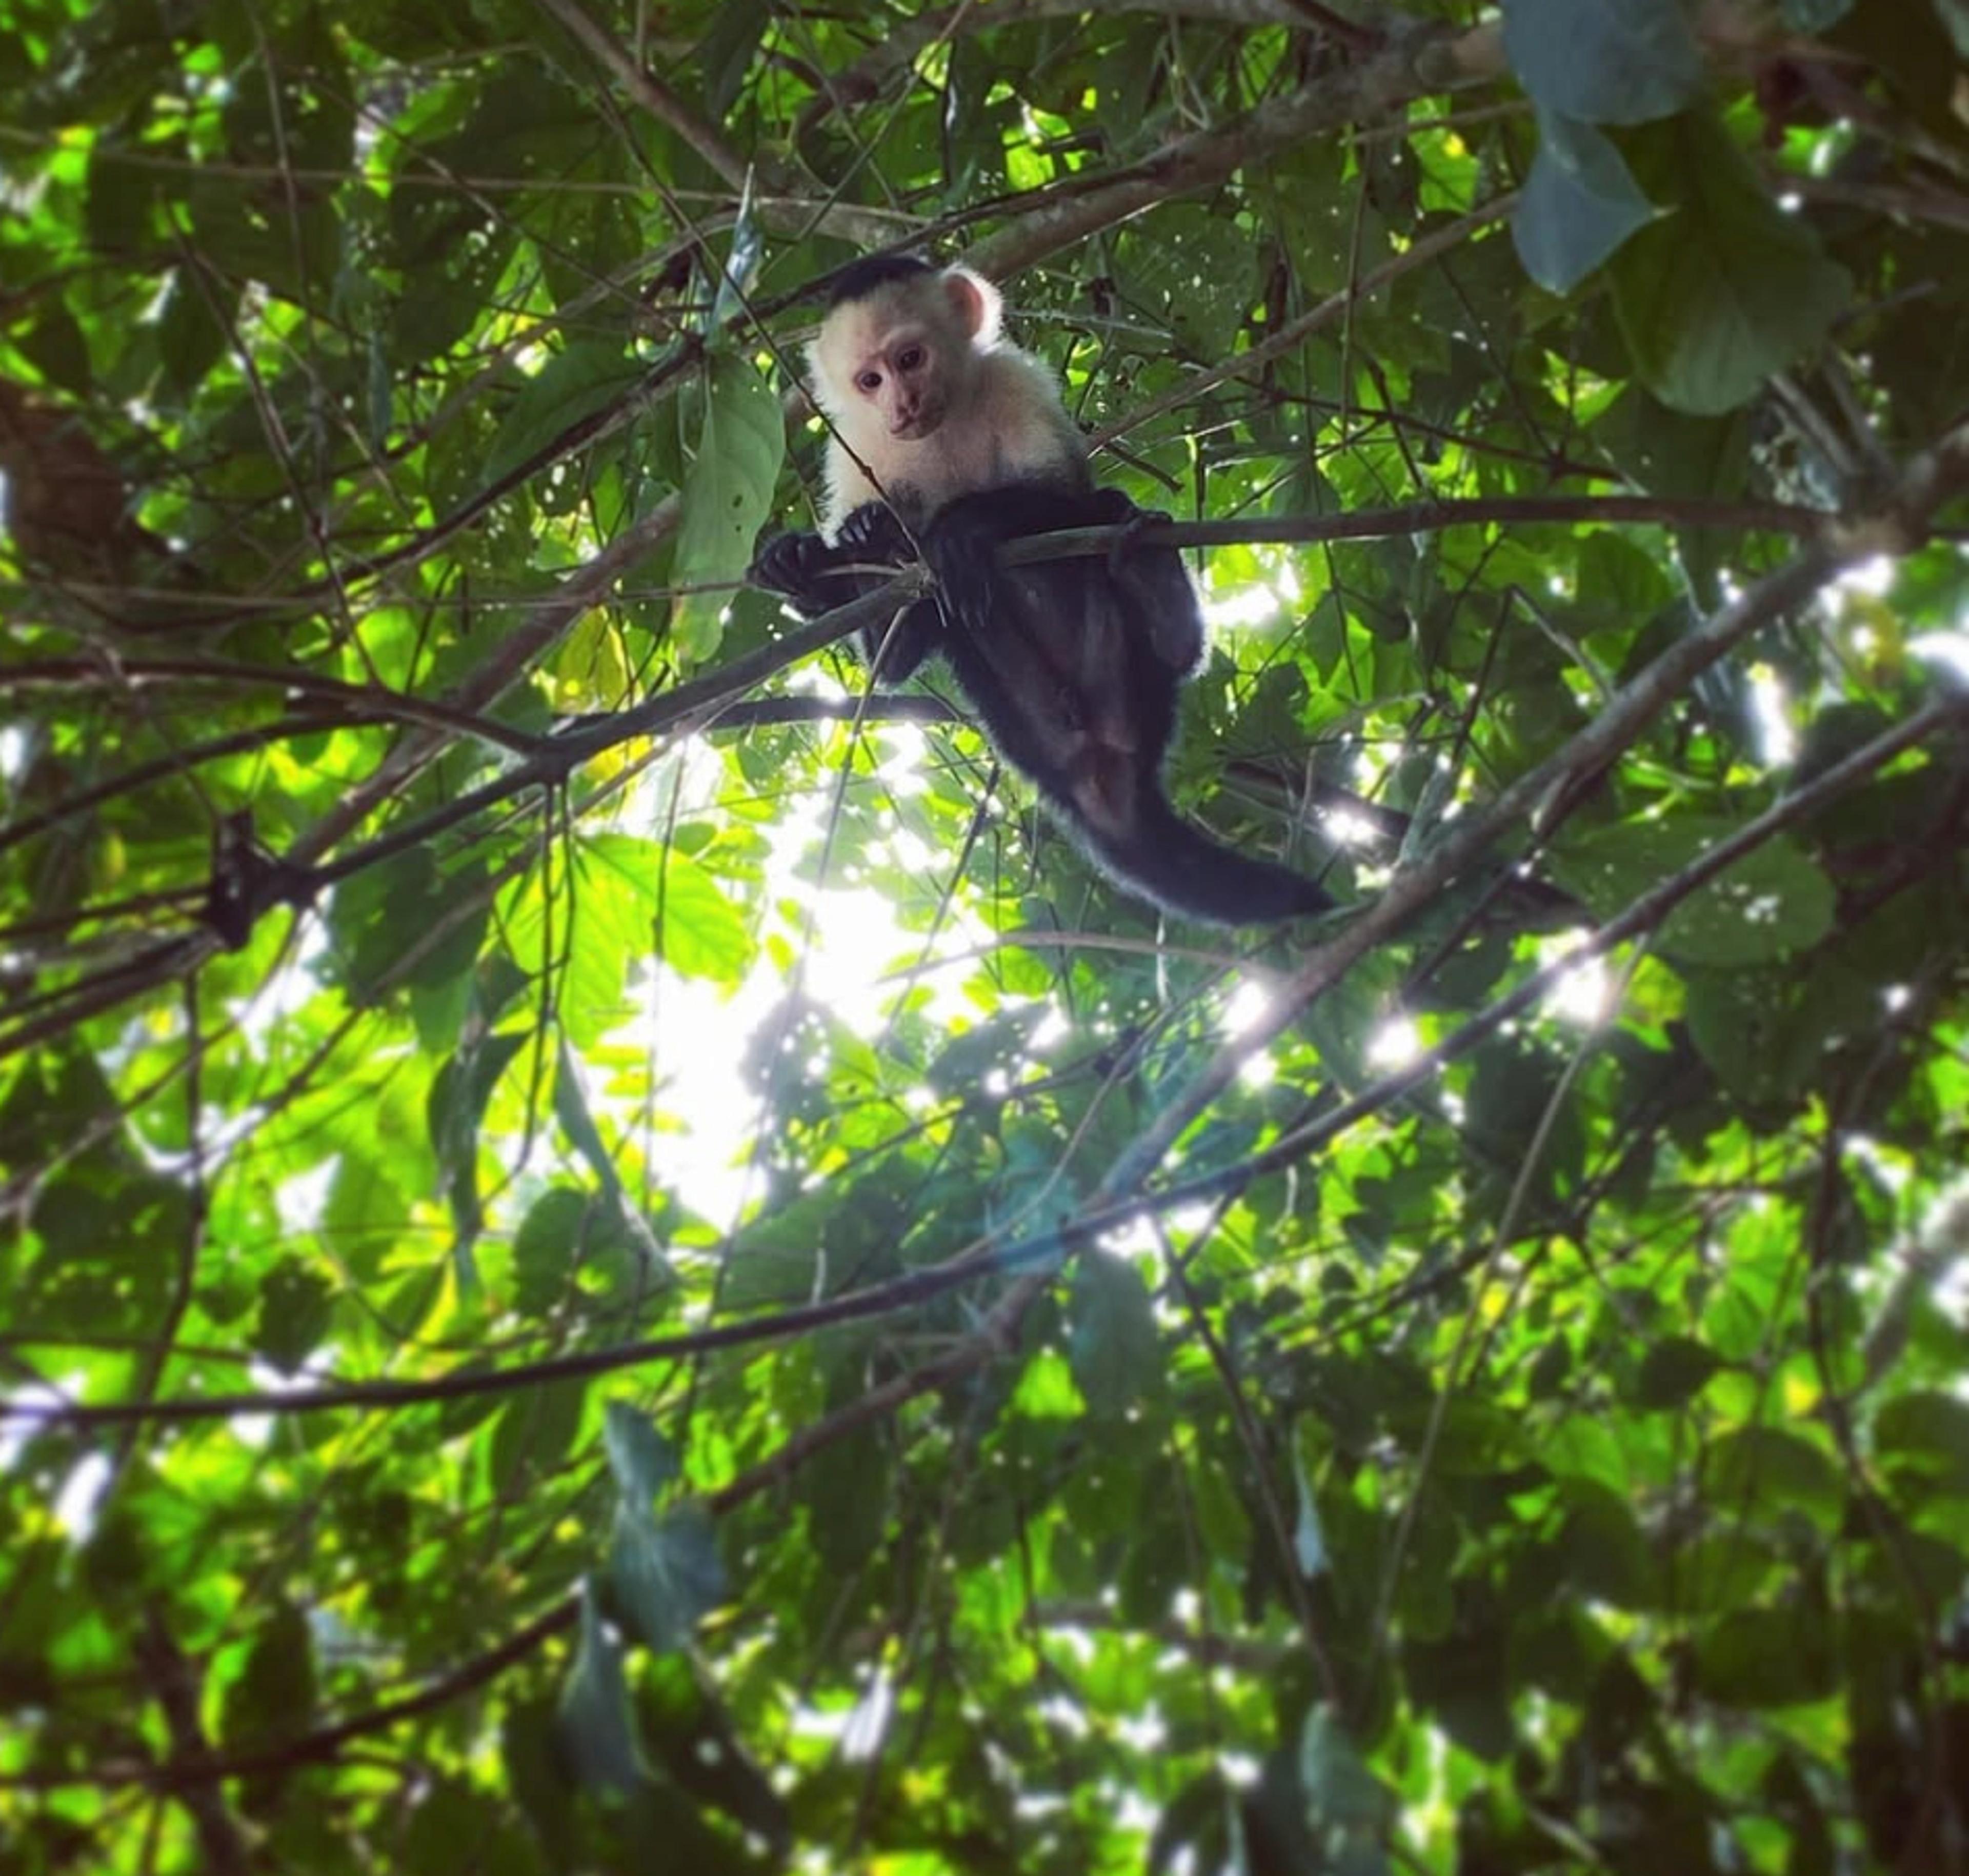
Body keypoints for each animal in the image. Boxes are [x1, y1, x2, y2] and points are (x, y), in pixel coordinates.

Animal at [751, 255, 1334, 925]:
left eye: (910, 360)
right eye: (869, 380)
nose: (903, 403)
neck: (940, 426)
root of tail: (1101, 775)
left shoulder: (1014, 380)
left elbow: (1060, 494)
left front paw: (958, 528)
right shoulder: (856, 452)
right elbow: (893, 657)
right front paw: (828, 552)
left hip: (1128, 674)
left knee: (1124, 559)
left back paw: (1152, 580)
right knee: (943, 625)